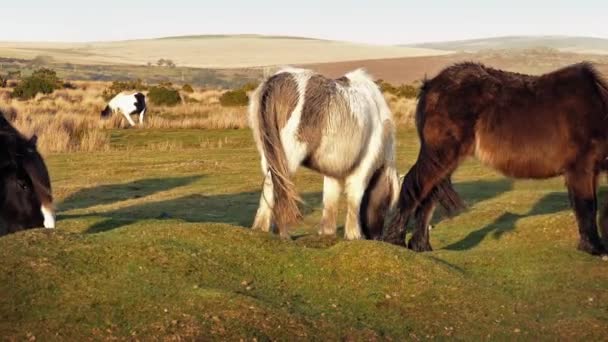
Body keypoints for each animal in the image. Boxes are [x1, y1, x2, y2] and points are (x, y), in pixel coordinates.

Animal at [248, 67, 400, 240]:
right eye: (387, 205)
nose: (378, 238)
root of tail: (274, 82)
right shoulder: (364, 167)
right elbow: (355, 197)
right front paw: (354, 235)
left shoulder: (332, 172)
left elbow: (330, 200)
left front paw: (327, 233)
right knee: (280, 186)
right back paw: (283, 233)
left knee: (269, 183)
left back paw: (261, 229)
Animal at [384, 61, 608, 255]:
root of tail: (430, 86)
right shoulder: (582, 168)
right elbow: (587, 206)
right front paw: (595, 248)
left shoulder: (589, 171)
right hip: (440, 155)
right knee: (413, 186)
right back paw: (395, 241)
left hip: (445, 160)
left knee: (428, 197)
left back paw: (421, 246)